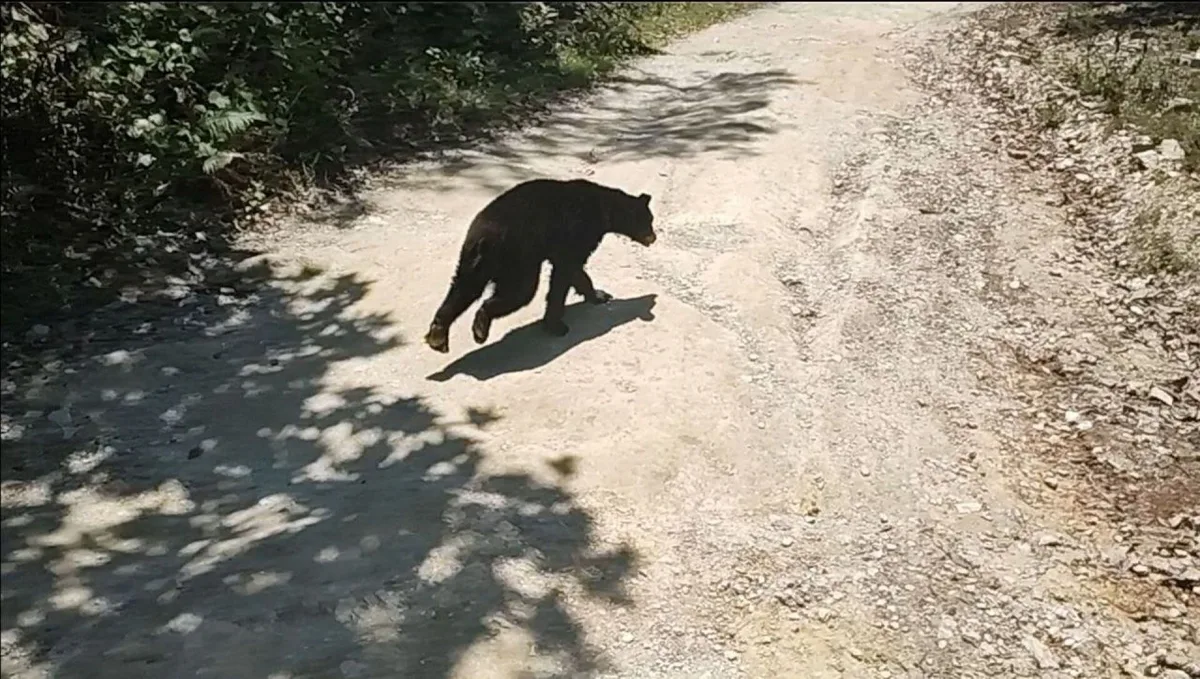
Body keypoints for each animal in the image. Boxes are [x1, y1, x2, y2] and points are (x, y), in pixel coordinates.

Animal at [424, 178, 657, 353]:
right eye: (648, 221)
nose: (654, 237)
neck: (604, 210)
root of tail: (484, 238)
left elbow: (576, 272)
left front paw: (599, 295)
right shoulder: (577, 232)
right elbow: (565, 272)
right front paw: (555, 324)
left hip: (473, 260)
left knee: (464, 288)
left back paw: (438, 334)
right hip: (518, 259)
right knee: (520, 292)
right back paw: (481, 325)